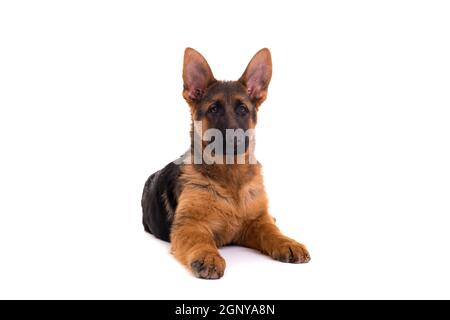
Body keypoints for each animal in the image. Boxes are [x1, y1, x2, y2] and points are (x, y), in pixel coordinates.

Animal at [142, 48, 312, 280]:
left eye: (243, 110)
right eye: (214, 109)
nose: (235, 140)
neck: (231, 177)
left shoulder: (256, 222)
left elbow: (271, 230)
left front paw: (287, 242)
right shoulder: (190, 225)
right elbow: (200, 240)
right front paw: (208, 256)